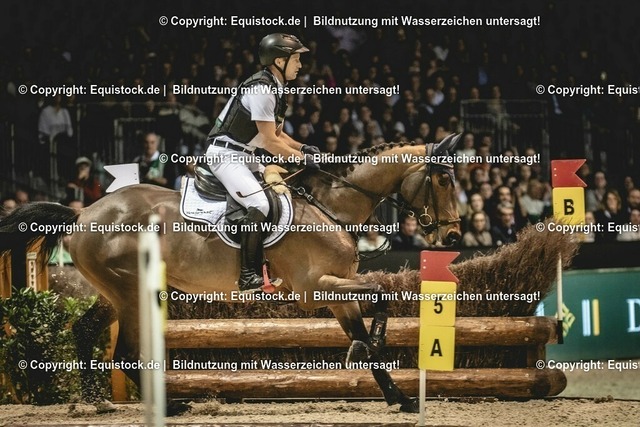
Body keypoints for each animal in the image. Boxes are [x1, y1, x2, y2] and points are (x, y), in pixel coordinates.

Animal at [0, 134, 461, 414]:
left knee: (84, 330)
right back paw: (169, 407)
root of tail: (82, 213)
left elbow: (366, 329)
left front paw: (399, 396)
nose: (454, 233)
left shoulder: (337, 294)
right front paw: (377, 346)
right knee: (125, 354)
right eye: (442, 180)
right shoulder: (315, 289)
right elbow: (382, 291)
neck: (331, 208)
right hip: (132, 293)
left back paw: (97, 402)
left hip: (117, 293)